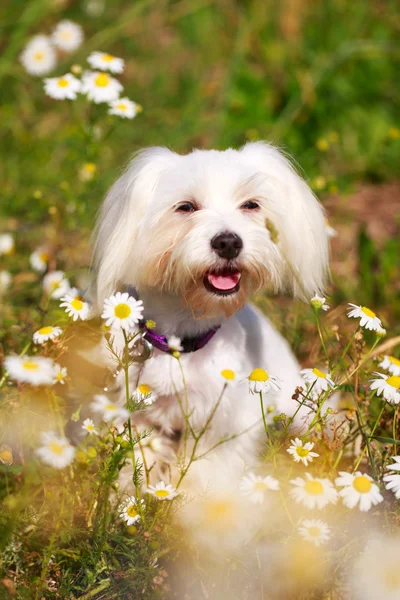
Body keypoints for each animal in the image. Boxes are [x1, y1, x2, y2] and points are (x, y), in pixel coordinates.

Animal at [92, 143, 330, 490]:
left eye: (251, 205)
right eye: (186, 207)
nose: (228, 242)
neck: (180, 343)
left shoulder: (223, 424)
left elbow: (208, 473)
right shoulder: (137, 415)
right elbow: (136, 463)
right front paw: (127, 495)